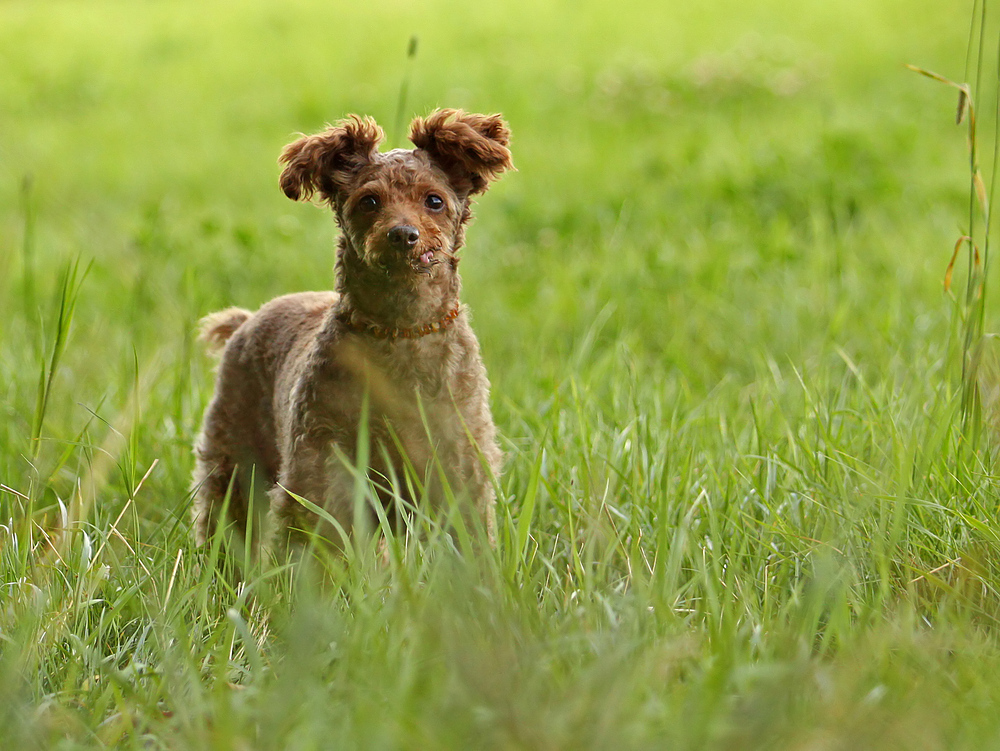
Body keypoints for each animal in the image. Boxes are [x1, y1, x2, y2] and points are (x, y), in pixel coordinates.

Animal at [191, 108, 512, 556]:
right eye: (369, 201)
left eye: (434, 201)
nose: (402, 236)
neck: (400, 328)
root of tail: (248, 319)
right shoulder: (323, 465)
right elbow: (318, 541)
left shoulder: (459, 462)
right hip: (235, 455)